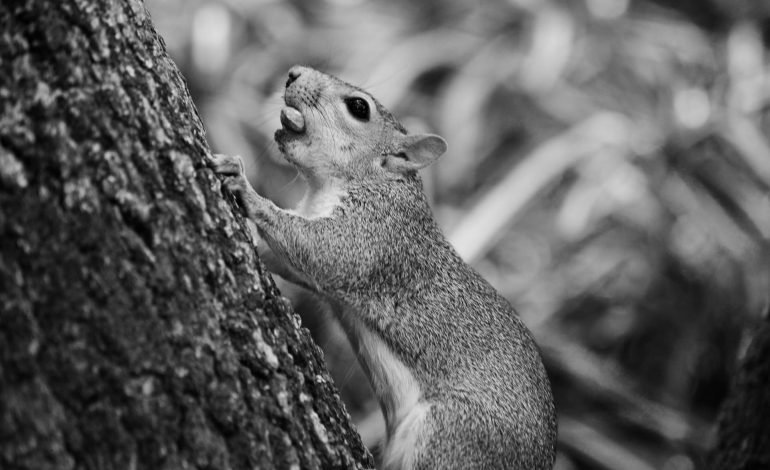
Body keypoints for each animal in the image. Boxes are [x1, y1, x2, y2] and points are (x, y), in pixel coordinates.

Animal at [209, 66, 557, 470]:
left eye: (359, 107)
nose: (294, 73)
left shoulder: (376, 235)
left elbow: (322, 252)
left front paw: (245, 186)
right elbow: (289, 259)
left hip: (453, 434)